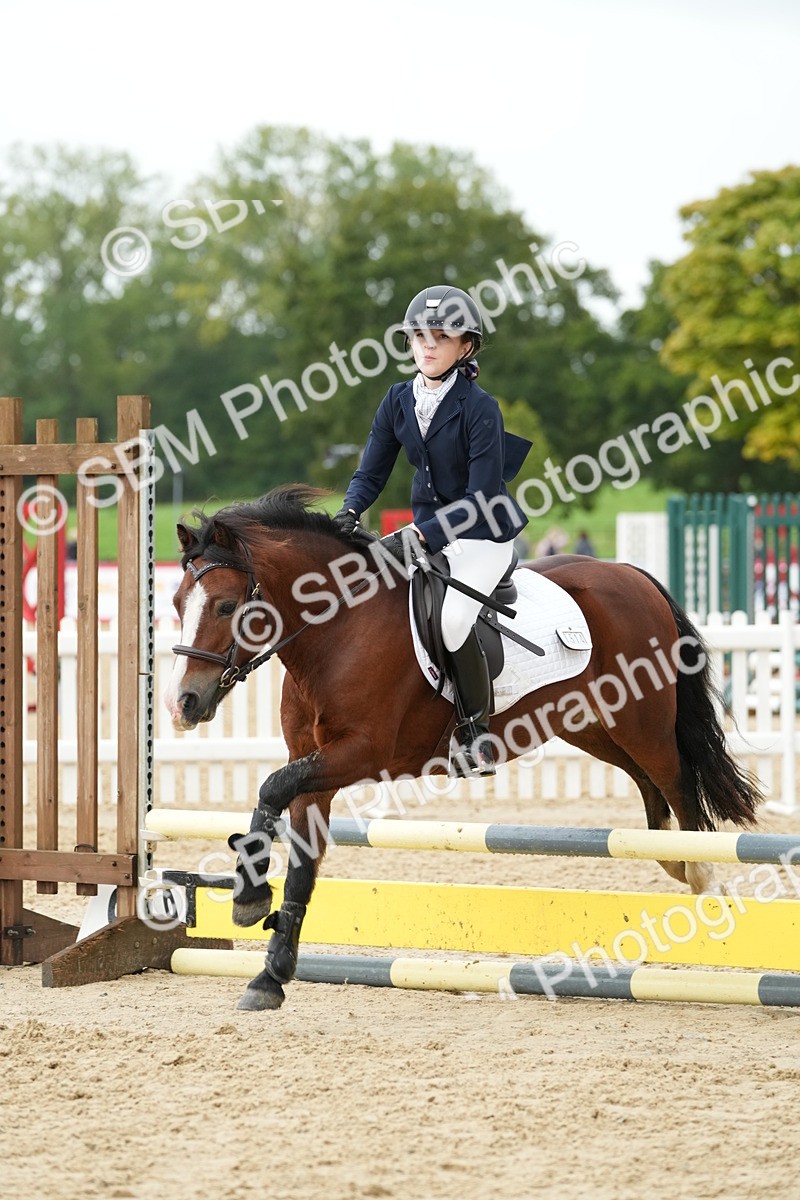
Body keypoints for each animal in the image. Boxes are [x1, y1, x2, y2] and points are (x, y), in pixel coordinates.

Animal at [165, 484, 761, 1011]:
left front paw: (248, 898)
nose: (184, 704)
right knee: (650, 790)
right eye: (175, 602)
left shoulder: (362, 753)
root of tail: (631, 573)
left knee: (678, 784)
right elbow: (300, 860)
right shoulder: (314, 765)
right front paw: (268, 974)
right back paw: (674, 862)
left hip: (642, 722)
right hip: (593, 725)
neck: (336, 630)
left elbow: (272, 787)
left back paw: (703, 883)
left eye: (225, 607)